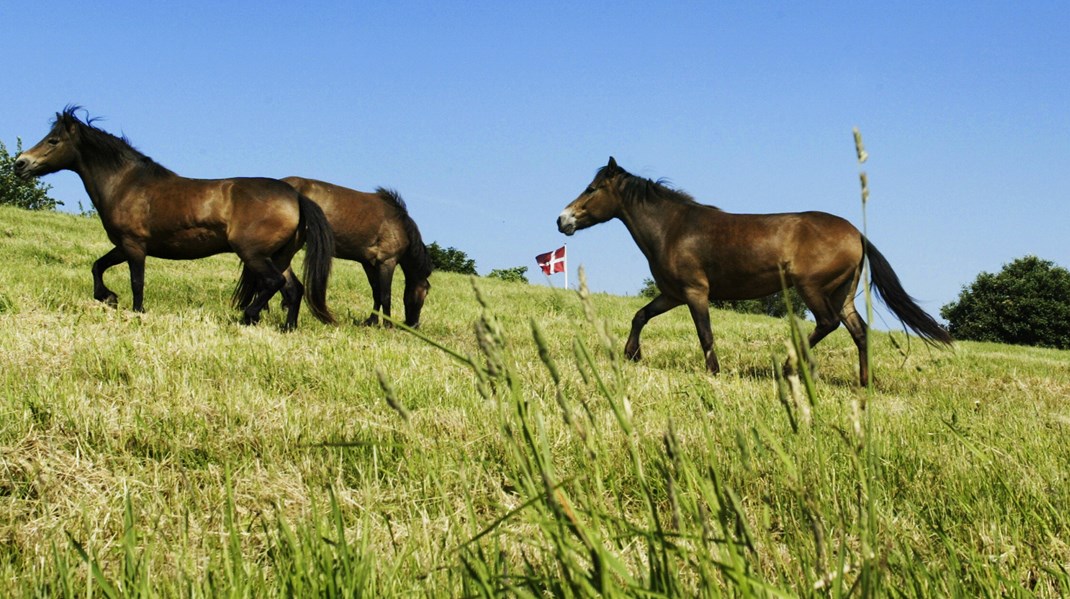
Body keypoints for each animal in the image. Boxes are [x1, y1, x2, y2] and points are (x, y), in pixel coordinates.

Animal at [14, 108, 333, 331]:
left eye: (53, 140)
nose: (20, 163)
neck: (127, 183)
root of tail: (295, 196)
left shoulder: (134, 245)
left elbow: (137, 282)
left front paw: (136, 312)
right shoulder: (123, 245)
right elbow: (98, 266)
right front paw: (108, 297)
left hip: (253, 254)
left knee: (273, 283)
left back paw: (248, 316)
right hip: (279, 256)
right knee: (292, 289)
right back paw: (287, 328)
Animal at [278, 176, 432, 327]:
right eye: (425, 293)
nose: (414, 324)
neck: (400, 225)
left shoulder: (369, 264)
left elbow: (376, 292)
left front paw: (372, 321)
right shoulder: (387, 262)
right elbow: (385, 295)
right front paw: (388, 325)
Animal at [556, 157, 950, 385]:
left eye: (592, 188)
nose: (562, 220)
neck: (673, 228)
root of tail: (857, 233)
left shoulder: (695, 292)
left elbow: (705, 334)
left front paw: (714, 374)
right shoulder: (672, 294)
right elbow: (640, 315)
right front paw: (631, 354)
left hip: (812, 288)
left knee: (828, 324)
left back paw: (789, 367)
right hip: (843, 294)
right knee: (859, 332)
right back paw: (863, 383)